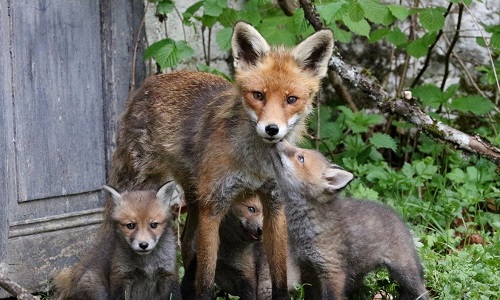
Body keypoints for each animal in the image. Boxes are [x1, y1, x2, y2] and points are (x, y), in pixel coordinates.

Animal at [52, 182, 181, 298]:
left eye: (154, 225)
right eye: (130, 225)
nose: (143, 245)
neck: (147, 264)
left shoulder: (168, 274)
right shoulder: (121, 277)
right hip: (97, 289)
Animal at [111, 20, 334, 298]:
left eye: (291, 99)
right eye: (258, 95)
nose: (271, 129)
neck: (255, 164)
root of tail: (147, 84)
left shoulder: (274, 204)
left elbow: (279, 275)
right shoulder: (214, 207)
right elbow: (206, 278)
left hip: (194, 199)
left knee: (186, 245)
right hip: (143, 189)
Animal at [270, 141, 430, 300]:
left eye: (301, 158)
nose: (279, 140)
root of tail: (398, 218)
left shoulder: (333, 271)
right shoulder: (306, 266)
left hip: (404, 271)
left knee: (422, 291)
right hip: (357, 273)